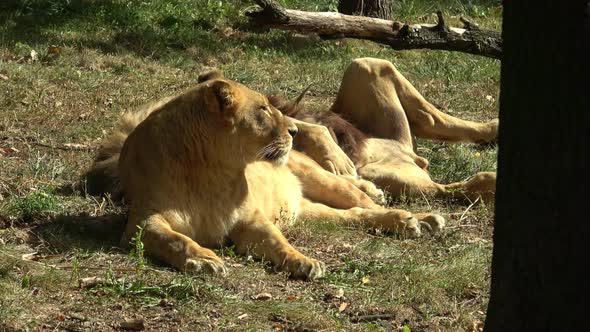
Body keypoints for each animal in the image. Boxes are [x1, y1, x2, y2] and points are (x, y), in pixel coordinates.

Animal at [86, 66, 444, 278]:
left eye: (272, 106)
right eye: (262, 110)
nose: (294, 131)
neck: (212, 171)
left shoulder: (249, 218)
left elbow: (276, 242)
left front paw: (304, 262)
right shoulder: (142, 221)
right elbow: (174, 239)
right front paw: (203, 259)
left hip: (324, 181)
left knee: (366, 202)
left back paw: (416, 220)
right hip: (311, 211)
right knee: (354, 215)